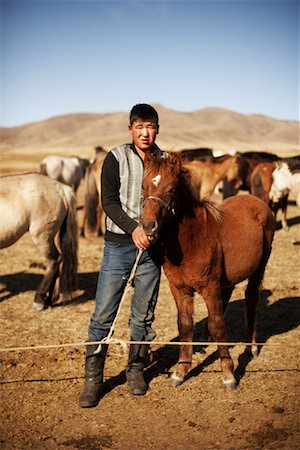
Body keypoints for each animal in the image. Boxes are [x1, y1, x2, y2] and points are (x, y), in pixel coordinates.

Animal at [142, 152, 276, 390]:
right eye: (144, 186)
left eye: (171, 189)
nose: (148, 226)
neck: (193, 239)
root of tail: (257, 201)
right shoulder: (180, 289)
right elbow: (185, 325)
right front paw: (180, 371)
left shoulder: (209, 287)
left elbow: (217, 324)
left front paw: (229, 375)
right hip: (228, 278)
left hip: (259, 268)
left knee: (251, 298)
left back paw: (251, 346)